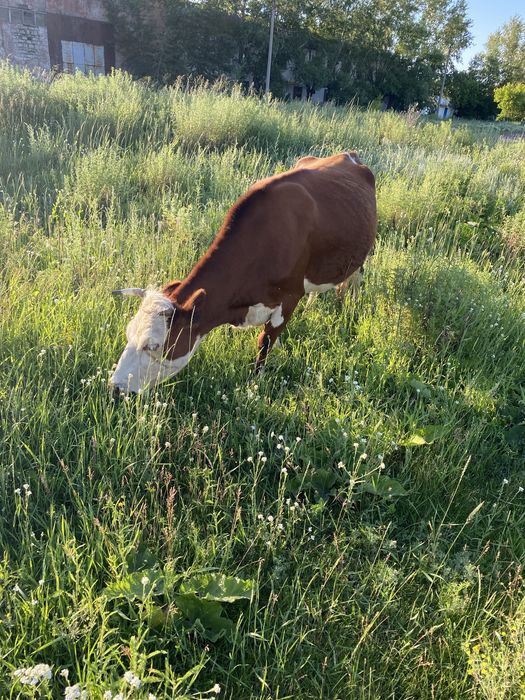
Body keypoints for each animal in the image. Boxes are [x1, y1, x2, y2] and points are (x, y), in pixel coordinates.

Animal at [110, 151, 376, 396]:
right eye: (128, 334)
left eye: (152, 345)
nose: (115, 388)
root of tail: (347, 154)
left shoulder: (290, 296)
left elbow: (264, 342)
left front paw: (255, 386)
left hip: (361, 255)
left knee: (353, 281)